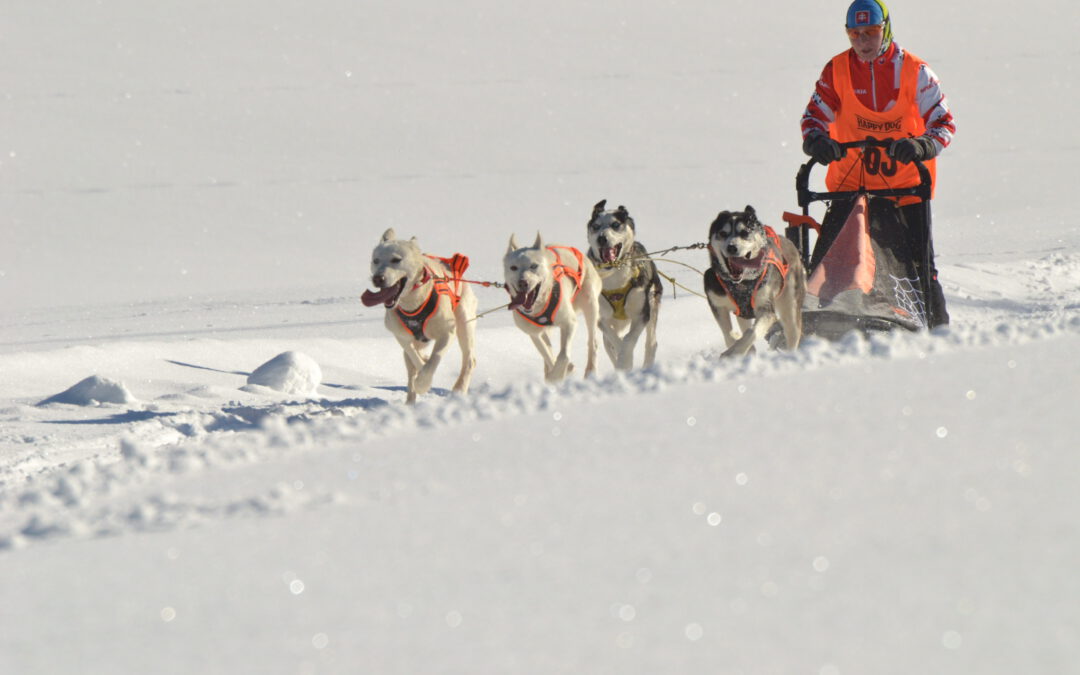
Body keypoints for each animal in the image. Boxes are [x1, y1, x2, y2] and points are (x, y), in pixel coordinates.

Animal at [362, 228, 477, 401]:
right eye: (376, 260)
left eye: (396, 260)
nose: (378, 279)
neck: (413, 303)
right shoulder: (402, 336)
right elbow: (415, 357)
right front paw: (422, 369)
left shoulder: (447, 332)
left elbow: (434, 360)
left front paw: (423, 383)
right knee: (411, 370)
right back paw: (410, 401)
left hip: (465, 323)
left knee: (469, 360)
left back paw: (459, 389)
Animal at [503, 231, 604, 382]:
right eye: (513, 267)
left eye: (534, 266)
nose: (523, 282)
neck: (540, 306)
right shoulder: (534, 333)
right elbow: (547, 354)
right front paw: (557, 373)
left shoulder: (569, 323)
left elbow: (563, 356)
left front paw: (557, 375)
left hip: (590, 304)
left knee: (592, 342)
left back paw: (590, 371)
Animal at [587, 197, 660, 371]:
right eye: (596, 226)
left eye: (615, 224)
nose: (602, 238)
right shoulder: (601, 318)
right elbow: (615, 341)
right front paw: (623, 362)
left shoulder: (642, 314)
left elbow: (628, 340)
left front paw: (625, 359)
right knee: (608, 344)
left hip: (652, 304)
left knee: (651, 343)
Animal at [704, 206, 807, 358]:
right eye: (723, 233)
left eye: (745, 233)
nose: (731, 247)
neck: (740, 284)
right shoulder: (717, 304)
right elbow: (728, 334)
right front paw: (737, 346)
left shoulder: (766, 309)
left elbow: (752, 332)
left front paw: (734, 351)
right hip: (742, 313)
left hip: (791, 308)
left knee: (792, 333)